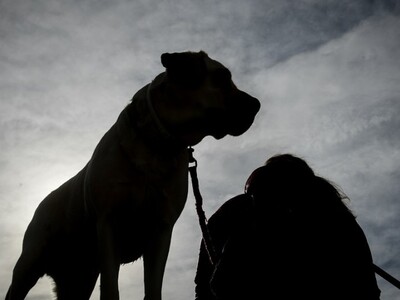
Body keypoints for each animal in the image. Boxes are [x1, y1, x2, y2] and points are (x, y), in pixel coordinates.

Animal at [5, 51, 260, 300]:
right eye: (222, 77)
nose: (257, 104)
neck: (156, 145)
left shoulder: (161, 230)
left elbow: (153, 289)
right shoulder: (109, 223)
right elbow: (111, 288)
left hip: (81, 278)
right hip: (28, 265)